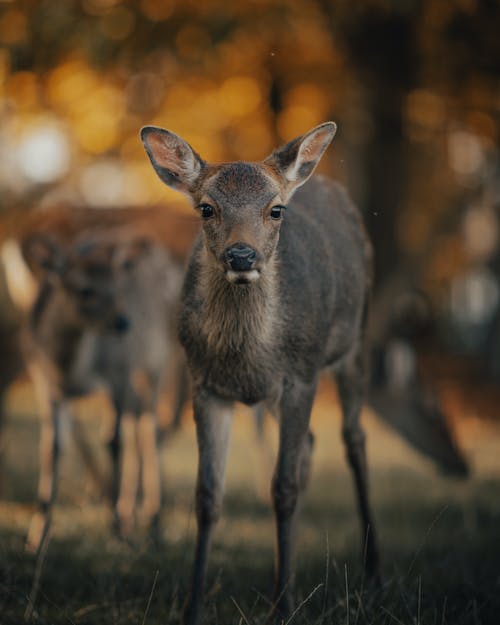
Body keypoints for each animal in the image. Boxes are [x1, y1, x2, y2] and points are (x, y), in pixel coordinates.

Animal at [143, 119, 380, 620]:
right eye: (207, 208)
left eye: (275, 211)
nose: (241, 256)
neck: (246, 358)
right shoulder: (205, 383)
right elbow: (207, 496)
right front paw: (193, 606)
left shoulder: (301, 376)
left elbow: (282, 488)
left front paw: (283, 607)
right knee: (311, 444)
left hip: (354, 342)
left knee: (354, 440)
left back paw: (373, 574)